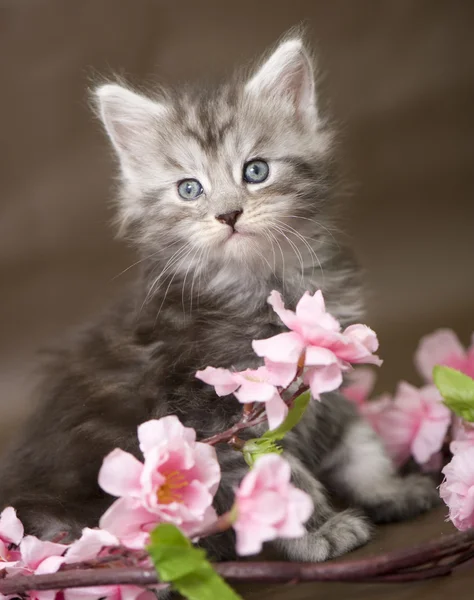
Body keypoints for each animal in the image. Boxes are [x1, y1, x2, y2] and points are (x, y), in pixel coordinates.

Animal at [0, 36, 436, 564]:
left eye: (256, 170)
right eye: (190, 188)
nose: (228, 214)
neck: (262, 284)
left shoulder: (323, 382)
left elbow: (358, 440)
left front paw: (389, 490)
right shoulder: (215, 414)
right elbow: (278, 476)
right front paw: (320, 530)